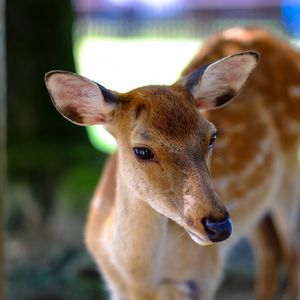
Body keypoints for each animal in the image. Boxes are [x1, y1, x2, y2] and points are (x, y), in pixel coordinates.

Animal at [44, 27, 300, 298]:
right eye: (142, 150)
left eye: (212, 136)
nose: (219, 226)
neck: (140, 280)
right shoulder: (115, 285)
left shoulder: (204, 275)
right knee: (270, 251)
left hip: (289, 169)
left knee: (291, 252)